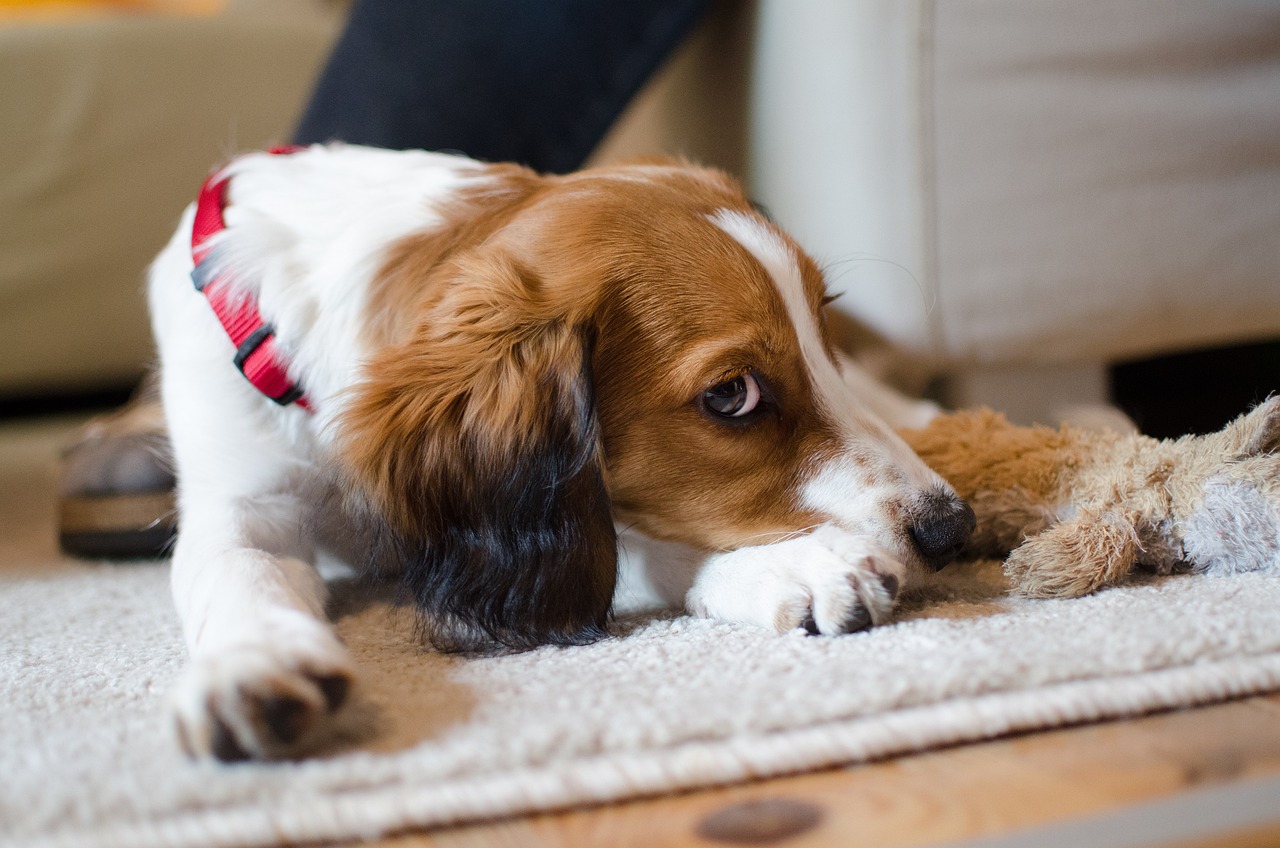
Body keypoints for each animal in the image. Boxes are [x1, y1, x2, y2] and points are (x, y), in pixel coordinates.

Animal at [147, 142, 967, 758]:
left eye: (818, 334)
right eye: (731, 395)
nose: (953, 529)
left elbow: (629, 543)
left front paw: (787, 565)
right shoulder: (244, 500)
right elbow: (237, 569)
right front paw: (252, 664)